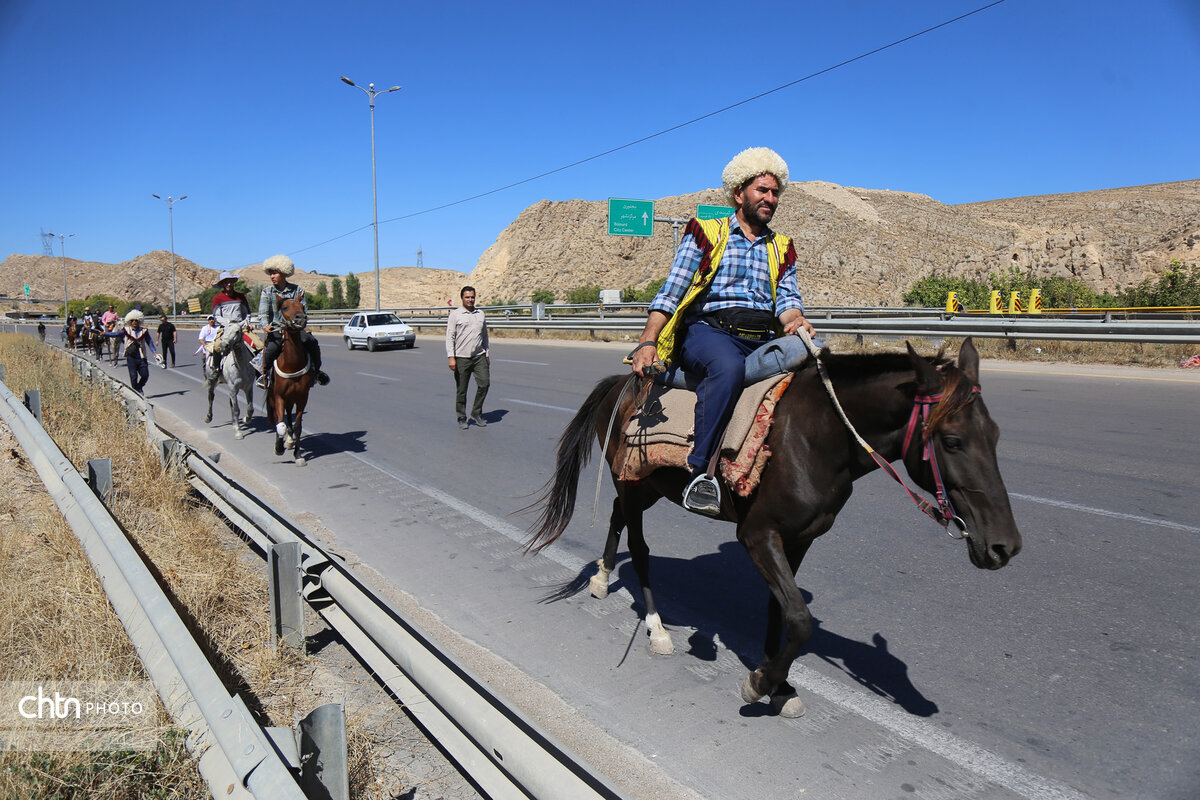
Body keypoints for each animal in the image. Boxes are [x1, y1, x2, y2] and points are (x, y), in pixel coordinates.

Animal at [267, 297, 314, 465]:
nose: (301, 318)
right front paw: (278, 448)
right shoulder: (279, 396)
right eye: (285, 307)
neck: (292, 364)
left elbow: (297, 426)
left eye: (302, 306)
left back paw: (289, 441)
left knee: (288, 417)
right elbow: (279, 424)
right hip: (275, 398)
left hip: (291, 399)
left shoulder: (302, 397)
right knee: (278, 419)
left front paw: (298, 455)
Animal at [525, 338, 1022, 719]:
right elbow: (799, 619)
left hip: (645, 486)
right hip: (632, 481)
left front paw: (778, 684)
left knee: (615, 516)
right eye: (952, 441)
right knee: (640, 545)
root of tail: (621, 384)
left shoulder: (798, 539)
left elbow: (780, 609)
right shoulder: (758, 535)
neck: (816, 437)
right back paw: (656, 627)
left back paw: (601, 577)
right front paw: (760, 683)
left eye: (996, 435)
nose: (1005, 547)